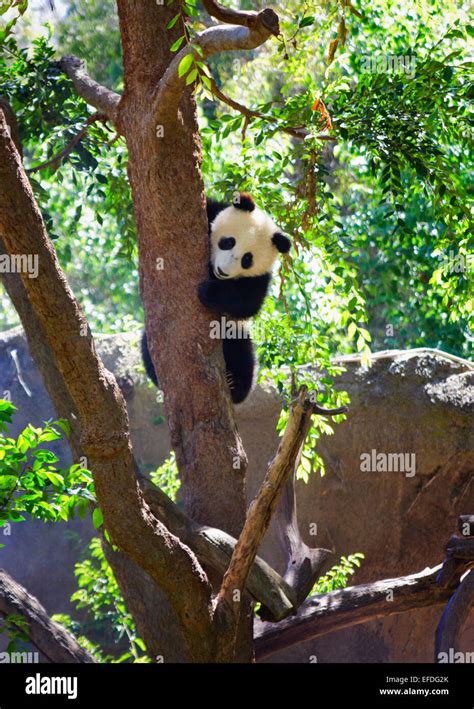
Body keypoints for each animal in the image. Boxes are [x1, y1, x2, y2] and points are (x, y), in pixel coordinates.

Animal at [142, 192, 288, 404]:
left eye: (247, 260)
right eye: (228, 242)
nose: (223, 271)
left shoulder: (260, 278)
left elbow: (247, 303)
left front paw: (208, 291)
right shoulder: (211, 212)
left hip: (234, 332)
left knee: (242, 354)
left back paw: (235, 386)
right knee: (147, 347)